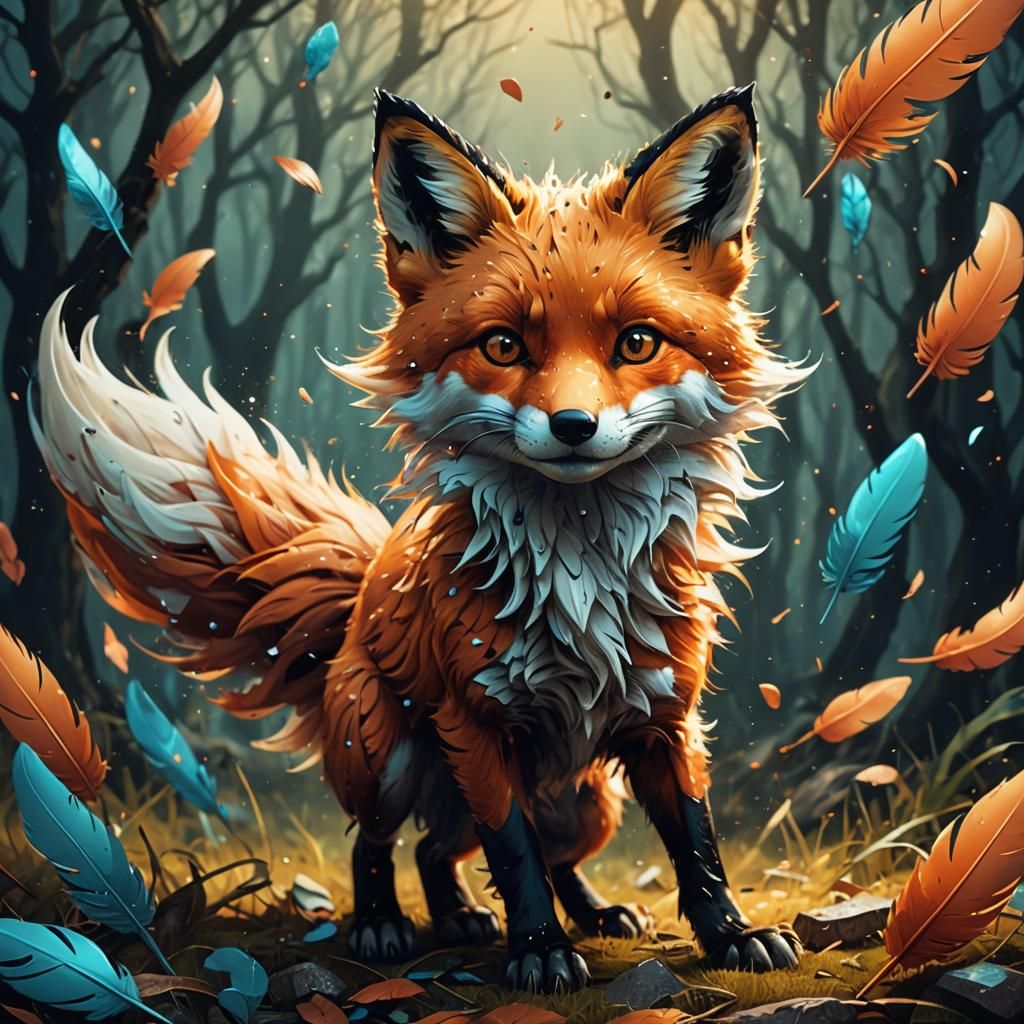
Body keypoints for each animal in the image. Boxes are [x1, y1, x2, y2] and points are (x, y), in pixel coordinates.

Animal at [34, 85, 809, 992]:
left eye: (636, 342)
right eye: (504, 345)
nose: (574, 427)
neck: (578, 570)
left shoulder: (666, 718)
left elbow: (695, 840)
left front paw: (731, 936)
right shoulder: (474, 723)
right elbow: (513, 855)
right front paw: (539, 950)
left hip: (591, 801)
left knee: (477, 852)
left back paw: (558, 914)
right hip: (388, 754)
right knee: (390, 844)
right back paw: (388, 925)